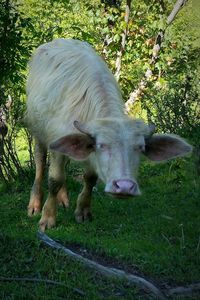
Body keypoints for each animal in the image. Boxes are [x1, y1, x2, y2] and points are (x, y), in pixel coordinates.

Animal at [25, 38, 192, 231]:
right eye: (102, 145)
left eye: (140, 148)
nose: (125, 187)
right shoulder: (56, 141)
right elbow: (55, 180)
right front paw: (47, 217)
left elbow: (90, 178)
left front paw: (83, 210)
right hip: (37, 131)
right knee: (40, 161)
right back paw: (35, 203)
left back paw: (63, 199)